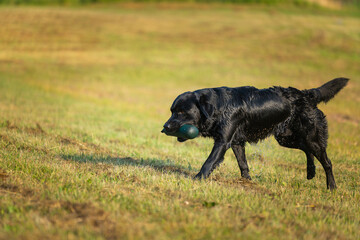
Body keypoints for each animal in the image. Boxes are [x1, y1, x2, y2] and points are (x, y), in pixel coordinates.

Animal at [163, 78, 348, 190]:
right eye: (172, 111)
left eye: (182, 112)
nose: (165, 126)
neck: (219, 106)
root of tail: (306, 94)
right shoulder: (237, 142)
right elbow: (243, 164)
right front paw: (247, 181)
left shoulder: (223, 142)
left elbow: (209, 162)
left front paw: (197, 179)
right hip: (286, 138)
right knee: (307, 150)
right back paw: (311, 172)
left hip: (310, 137)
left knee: (327, 162)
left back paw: (332, 187)